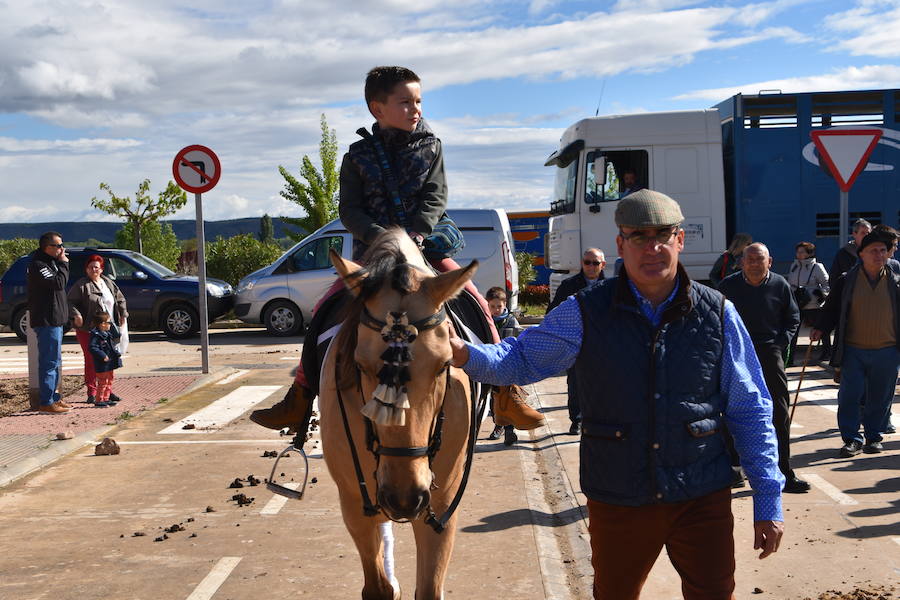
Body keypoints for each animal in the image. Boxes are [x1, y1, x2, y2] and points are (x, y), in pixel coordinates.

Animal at [322, 227, 482, 596]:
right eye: (360, 366)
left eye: (444, 365)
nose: (403, 498)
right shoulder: (353, 503)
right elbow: (377, 586)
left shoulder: (441, 507)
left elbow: (429, 589)